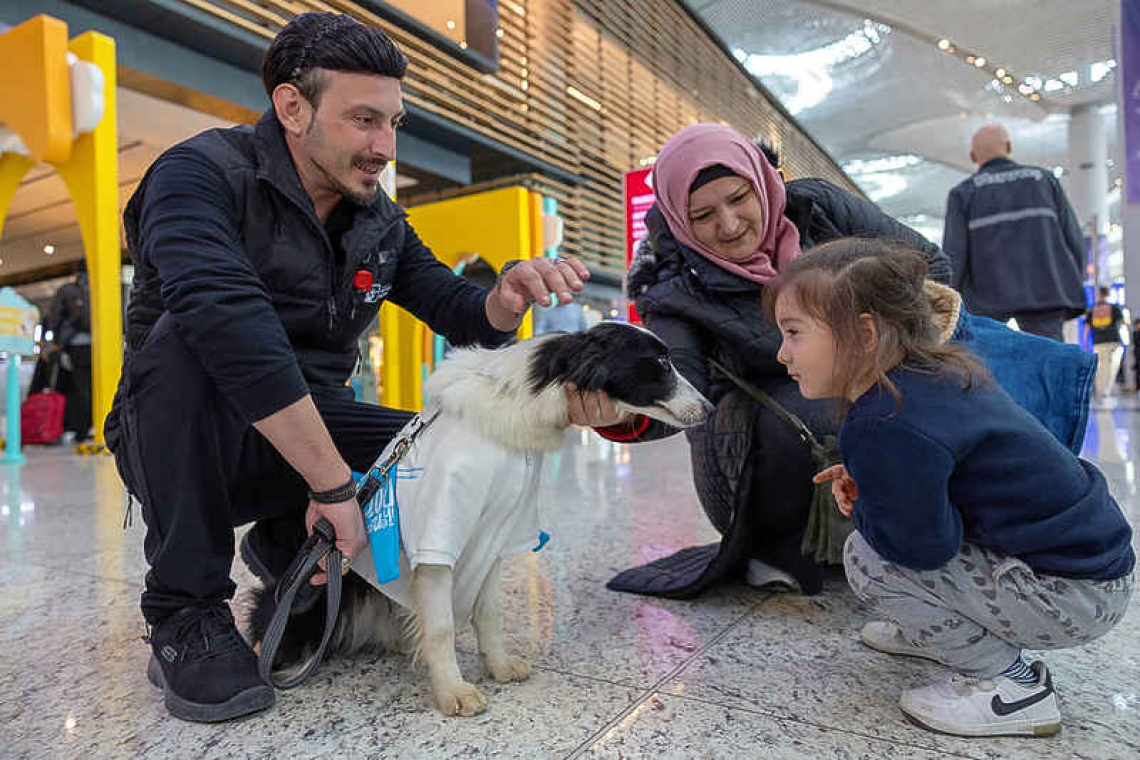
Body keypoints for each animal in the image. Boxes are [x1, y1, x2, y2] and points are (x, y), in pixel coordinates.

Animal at [250, 323, 711, 715]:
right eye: (661, 362)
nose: (709, 408)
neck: (521, 403)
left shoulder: (498, 533)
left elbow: (488, 613)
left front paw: (498, 665)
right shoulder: (440, 537)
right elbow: (440, 628)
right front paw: (452, 691)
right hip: (314, 597)